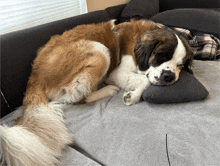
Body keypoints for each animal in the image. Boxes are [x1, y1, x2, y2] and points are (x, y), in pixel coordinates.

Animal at [0, 19, 192, 165]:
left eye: (180, 65)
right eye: (161, 56)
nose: (168, 76)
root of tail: (35, 74)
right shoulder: (117, 72)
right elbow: (145, 79)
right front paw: (133, 96)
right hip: (100, 50)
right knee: (78, 97)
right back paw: (108, 89)